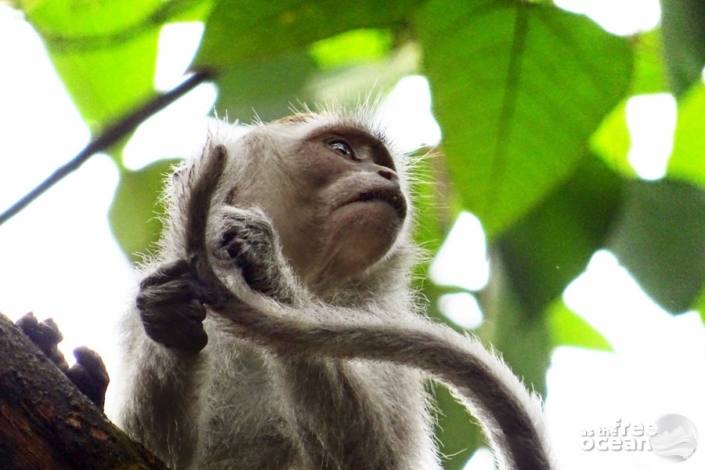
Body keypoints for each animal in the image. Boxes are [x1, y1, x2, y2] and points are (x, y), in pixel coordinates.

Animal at [115, 111, 556, 470]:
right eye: (341, 149)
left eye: (380, 161)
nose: (388, 175)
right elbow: (154, 453)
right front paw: (169, 314)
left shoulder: (383, 324)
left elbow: (379, 462)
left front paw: (269, 269)